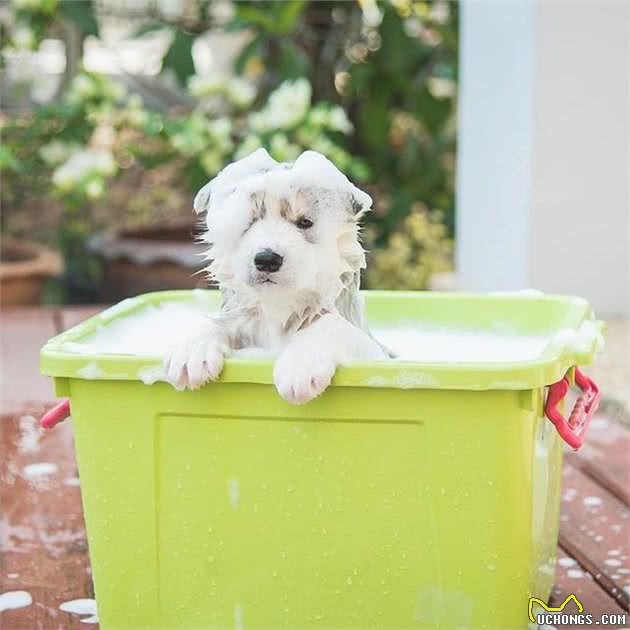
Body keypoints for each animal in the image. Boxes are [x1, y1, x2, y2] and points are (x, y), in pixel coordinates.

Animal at [165, 148, 388, 404]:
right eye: (246, 222)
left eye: (305, 222)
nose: (267, 259)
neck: (278, 307)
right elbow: (213, 322)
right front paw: (191, 350)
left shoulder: (375, 352)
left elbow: (329, 323)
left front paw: (300, 366)